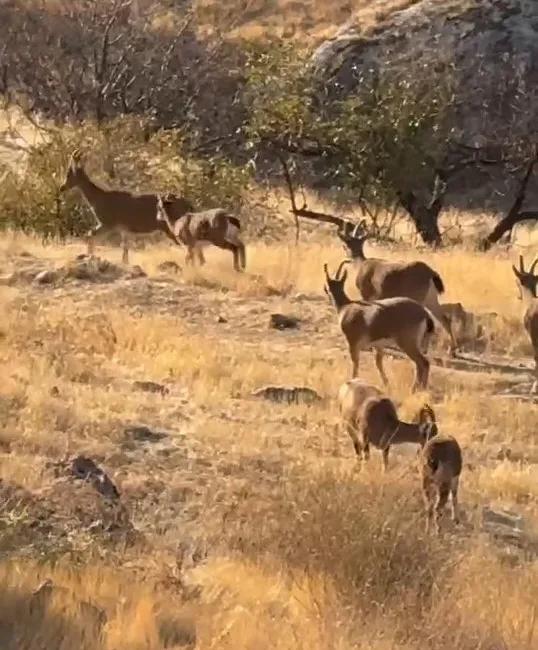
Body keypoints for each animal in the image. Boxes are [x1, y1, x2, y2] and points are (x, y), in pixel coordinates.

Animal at [59, 149, 193, 264]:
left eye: (69, 174)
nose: (62, 187)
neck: (100, 199)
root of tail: (188, 204)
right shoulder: (123, 228)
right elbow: (124, 248)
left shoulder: (108, 223)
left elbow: (90, 234)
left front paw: (89, 256)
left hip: (172, 228)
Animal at [322, 262, 432, 392]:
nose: (325, 289)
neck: (346, 307)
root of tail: (424, 313)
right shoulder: (378, 345)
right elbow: (378, 363)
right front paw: (386, 383)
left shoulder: (353, 343)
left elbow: (355, 362)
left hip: (408, 343)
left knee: (423, 363)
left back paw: (416, 389)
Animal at [338, 221, 454, 354]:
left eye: (345, 245)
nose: (346, 256)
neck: (360, 264)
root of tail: (431, 273)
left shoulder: (366, 295)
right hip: (431, 299)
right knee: (444, 319)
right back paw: (451, 350)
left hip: (419, 298)